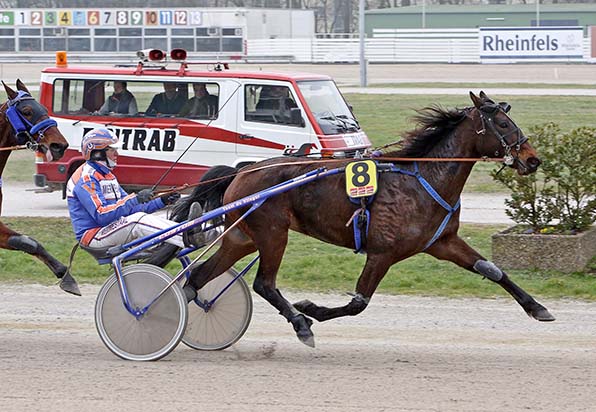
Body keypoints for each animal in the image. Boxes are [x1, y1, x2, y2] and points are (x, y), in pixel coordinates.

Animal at [178, 91, 556, 348]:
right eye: (503, 123)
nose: (533, 159)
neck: (424, 179)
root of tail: (244, 171)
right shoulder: (382, 252)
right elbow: (358, 303)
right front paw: (311, 309)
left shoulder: (442, 242)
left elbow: (493, 270)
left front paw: (538, 308)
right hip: (272, 233)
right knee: (264, 284)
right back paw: (301, 324)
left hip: (241, 237)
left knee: (199, 276)